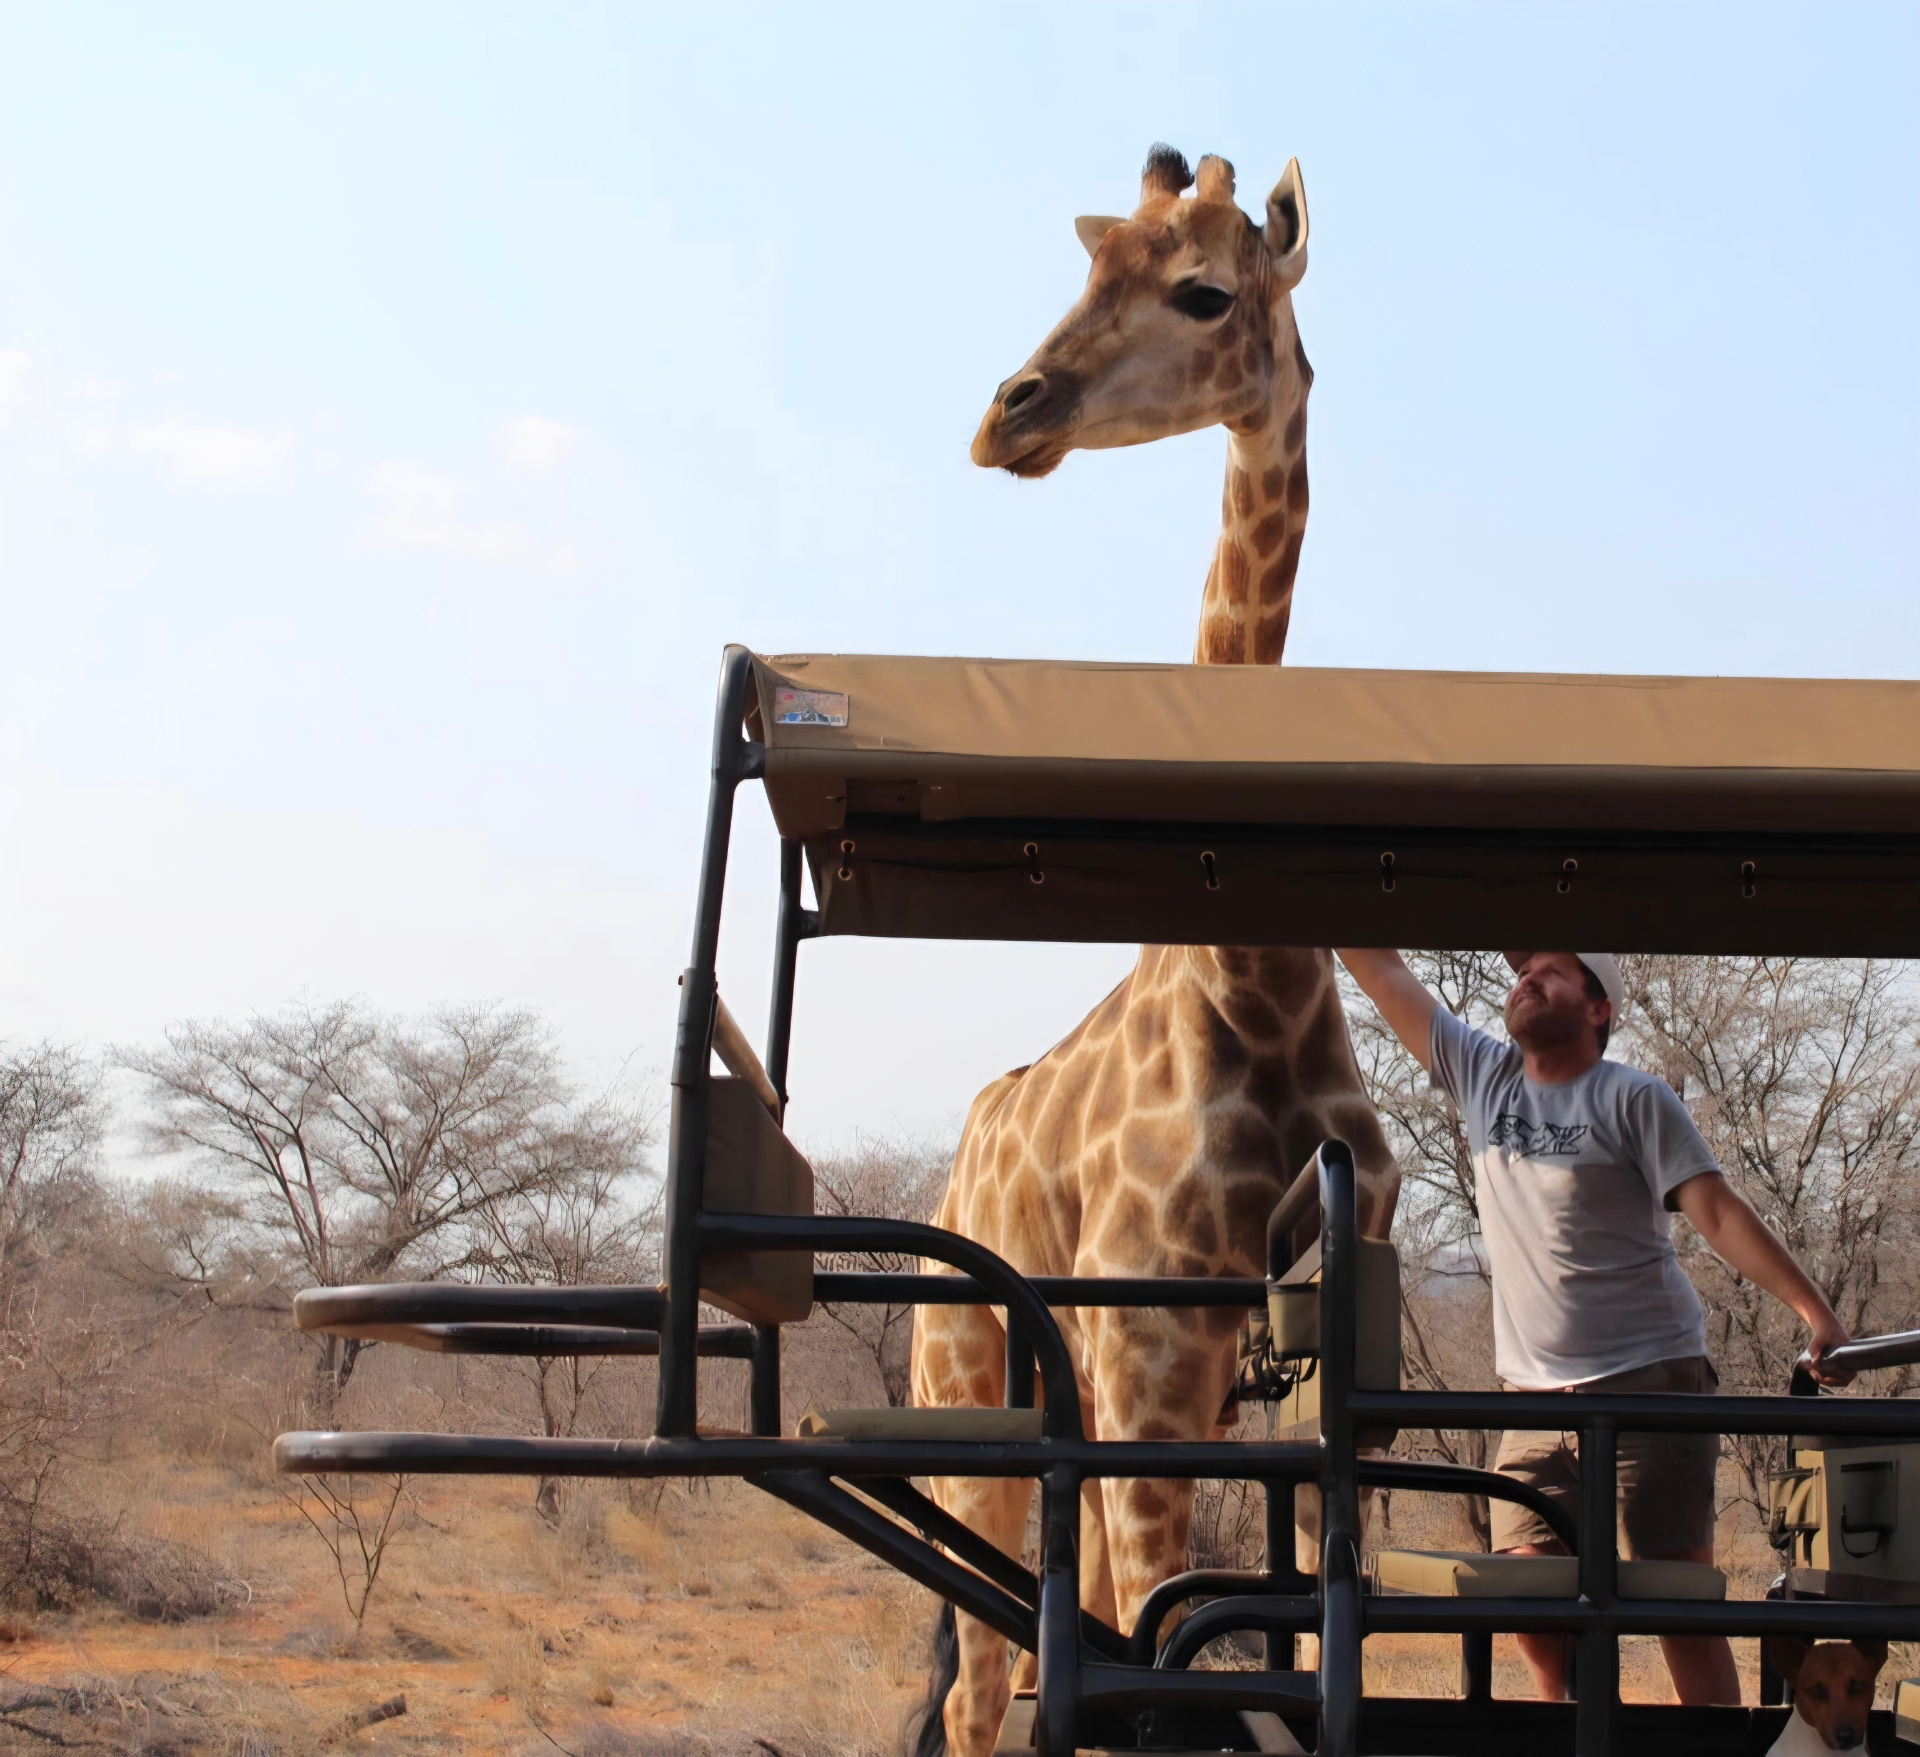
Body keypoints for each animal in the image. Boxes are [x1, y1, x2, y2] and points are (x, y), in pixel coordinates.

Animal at [907, 147, 1399, 1757]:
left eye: (1202, 290)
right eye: (1086, 265)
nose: (1010, 413)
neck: (1253, 973)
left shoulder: (1283, 1378)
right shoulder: (1140, 1363)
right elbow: (1128, 1667)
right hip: (968, 1393)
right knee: (985, 1684)